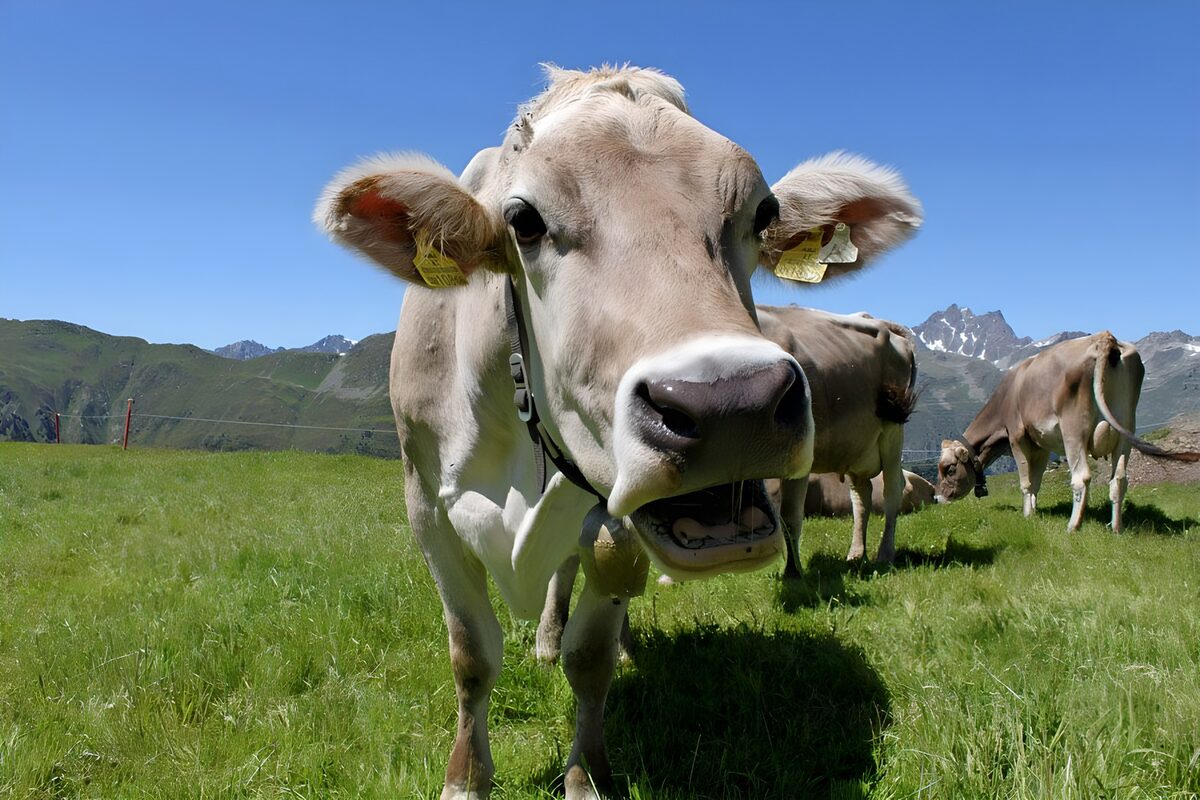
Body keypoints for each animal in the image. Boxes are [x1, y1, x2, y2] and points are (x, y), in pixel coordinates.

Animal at [315, 65, 922, 799]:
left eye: (763, 213)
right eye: (523, 221)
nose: (732, 405)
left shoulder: (607, 517)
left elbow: (592, 657)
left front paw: (588, 775)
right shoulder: (426, 507)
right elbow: (472, 655)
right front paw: (466, 778)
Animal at [936, 331, 1198, 532]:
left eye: (949, 469)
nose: (938, 498)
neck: (1006, 397)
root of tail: (1105, 338)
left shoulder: (1017, 437)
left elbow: (1025, 482)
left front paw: (1027, 515)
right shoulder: (1040, 446)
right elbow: (1036, 481)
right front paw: (1034, 511)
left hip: (1074, 430)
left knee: (1081, 477)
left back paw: (1073, 526)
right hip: (1126, 429)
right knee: (1119, 479)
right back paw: (1116, 528)